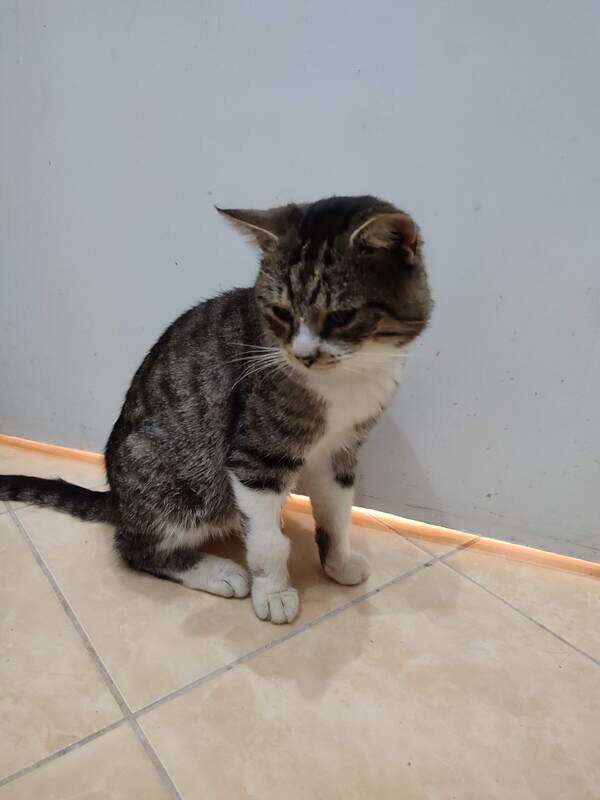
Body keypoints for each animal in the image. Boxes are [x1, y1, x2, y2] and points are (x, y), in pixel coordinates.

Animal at [0, 195, 432, 624]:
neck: (349, 379)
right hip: (174, 479)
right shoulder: (255, 456)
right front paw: (274, 592)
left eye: (342, 316)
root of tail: (117, 501)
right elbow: (268, 539)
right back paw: (216, 571)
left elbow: (337, 513)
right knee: (135, 548)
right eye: (281, 312)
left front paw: (338, 563)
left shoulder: (340, 450)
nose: (304, 355)